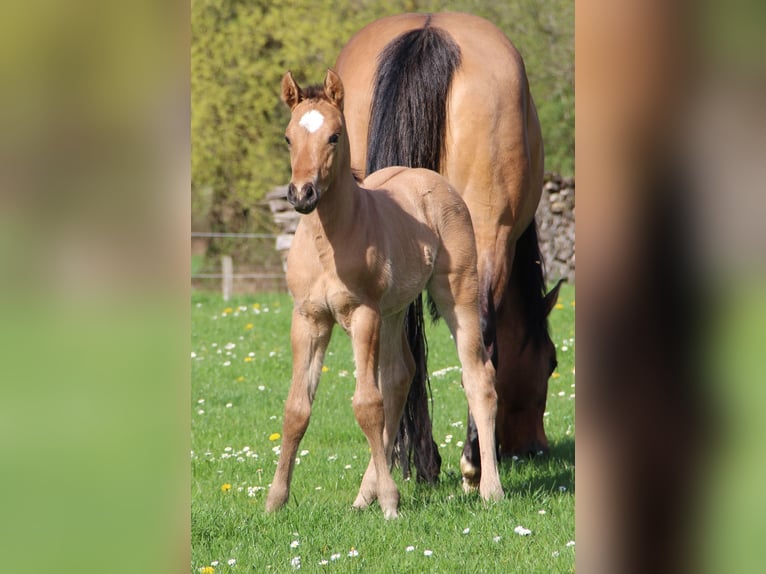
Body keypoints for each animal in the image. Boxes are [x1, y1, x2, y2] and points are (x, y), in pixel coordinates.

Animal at [268, 70, 508, 520]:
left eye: (335, 136)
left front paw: (392, 503)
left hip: (457, 294)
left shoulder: (363, 314)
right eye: (289, 137)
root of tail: (430, 177)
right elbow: (296, 408)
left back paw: (489, 489)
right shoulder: (308, 318)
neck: (330, 241)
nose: (301, 194)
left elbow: (366, 404)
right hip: (394, 311)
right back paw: (366, 495)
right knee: (399, 377)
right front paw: (275, 500)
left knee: (478, 377)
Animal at [336, 12, 564, 490]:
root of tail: (428, 31)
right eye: (552, 362)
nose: (535, 446)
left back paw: (412, 460)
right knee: (481, 341)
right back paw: (472, 463)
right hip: (485, 237)